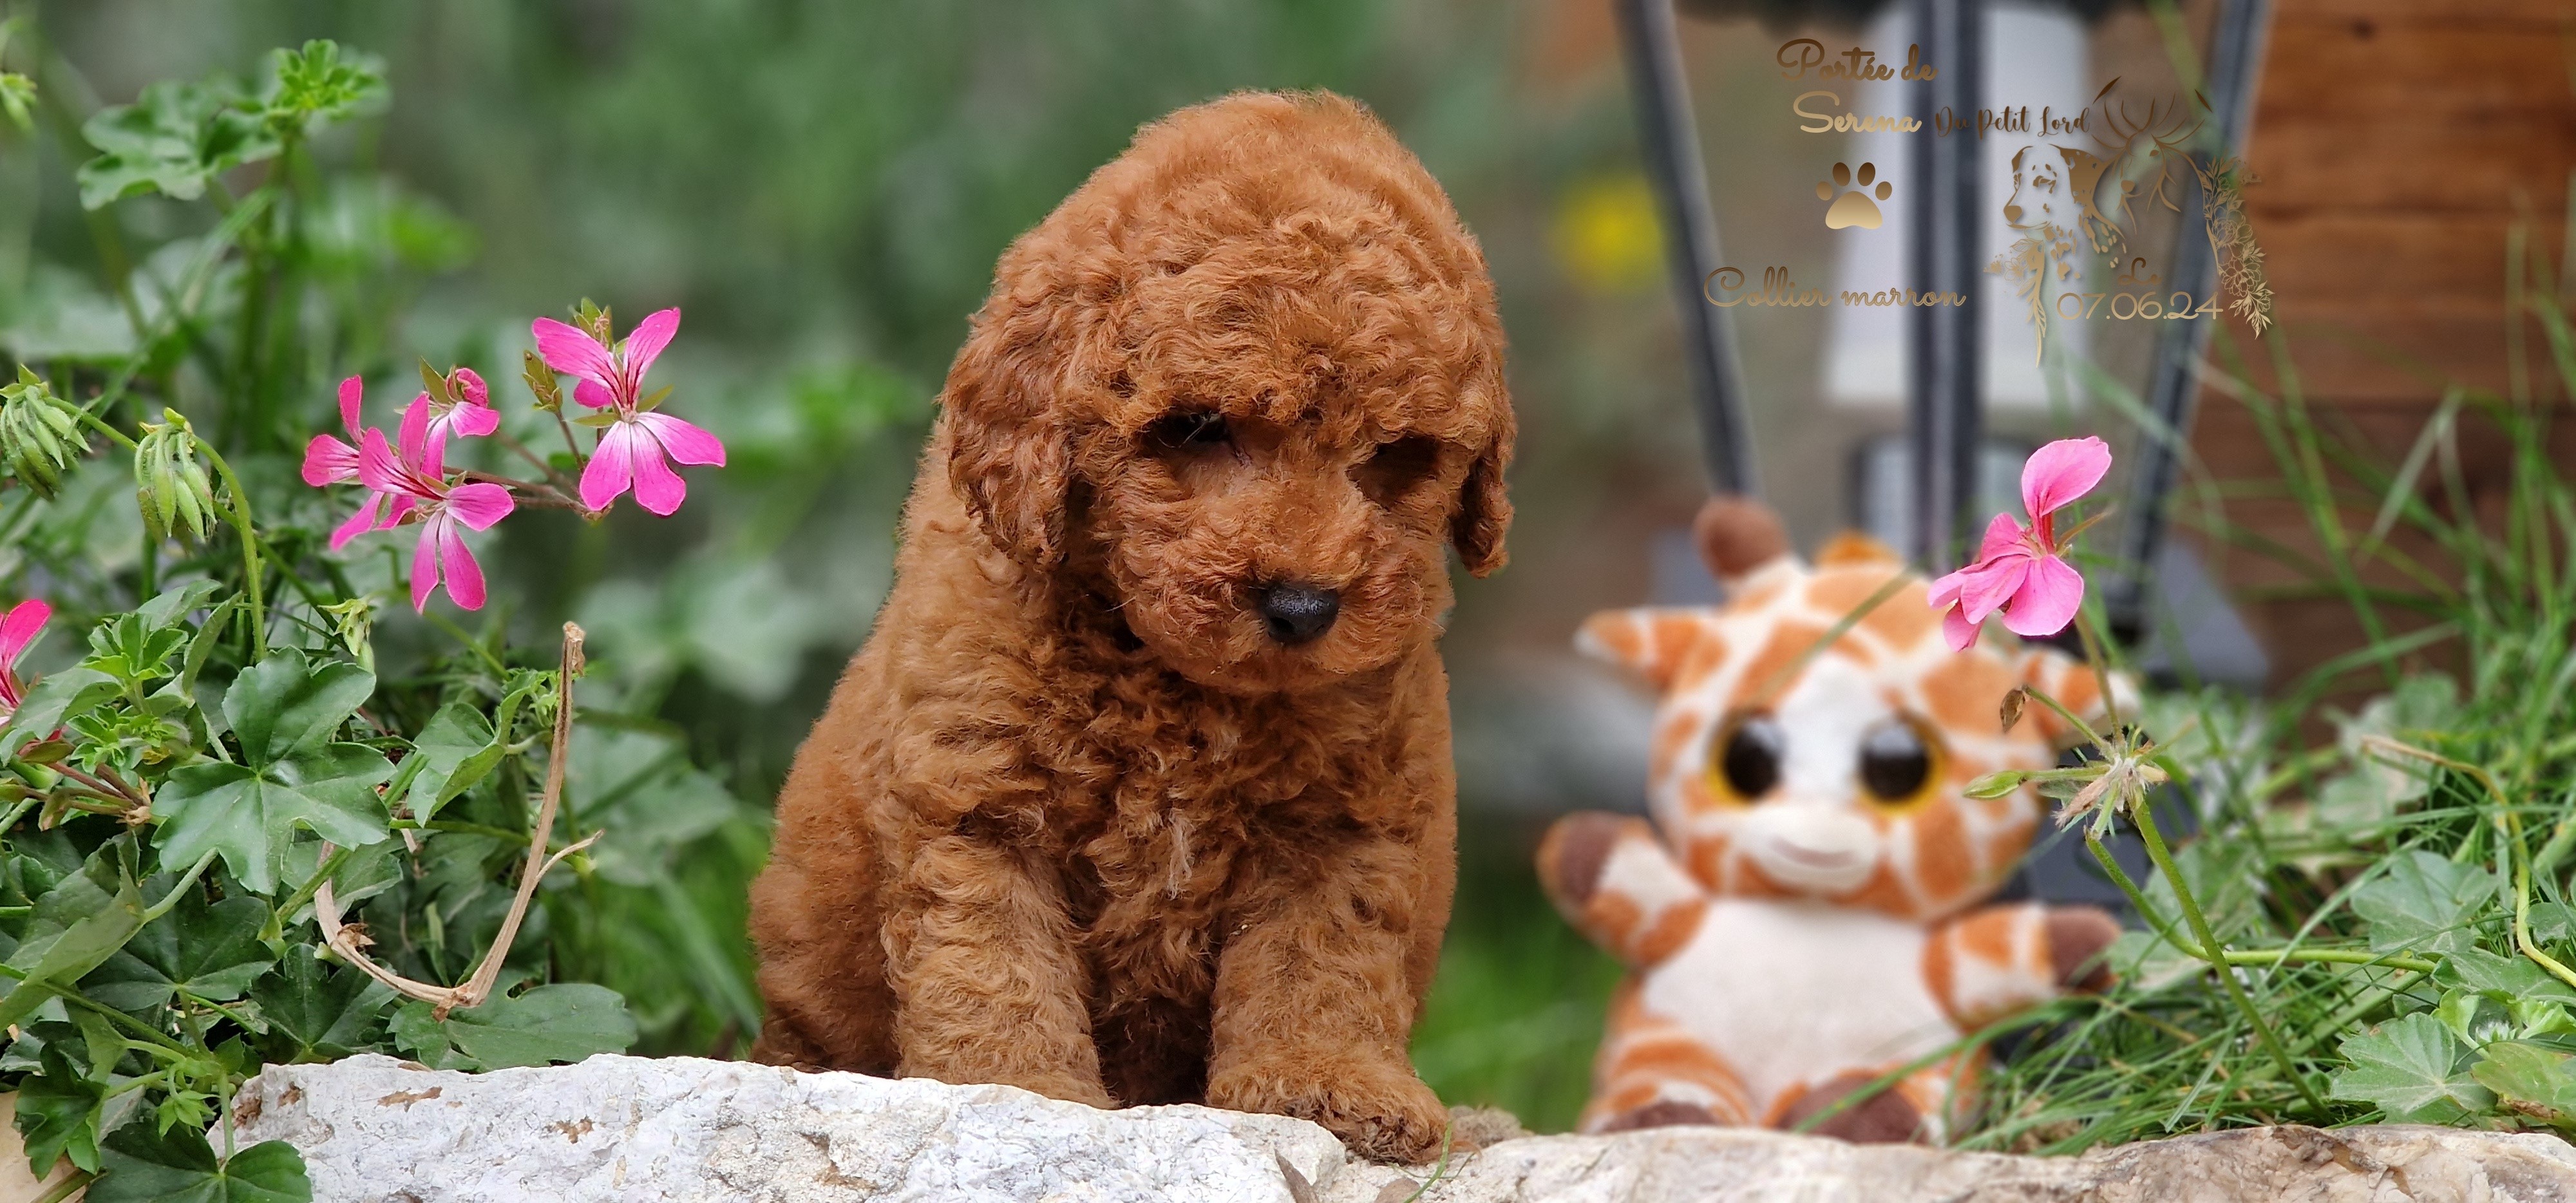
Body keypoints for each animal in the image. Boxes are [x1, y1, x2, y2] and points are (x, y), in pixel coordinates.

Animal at [747, 90, 1504, 1164]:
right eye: (1197, 429)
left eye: (1396, 453)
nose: (1304, 605)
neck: (1175, 682)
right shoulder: (979, 803)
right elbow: (995, 965)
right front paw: (1017, 1090)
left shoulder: (1344, 816)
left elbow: (1321, 954)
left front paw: (1324, 1085)